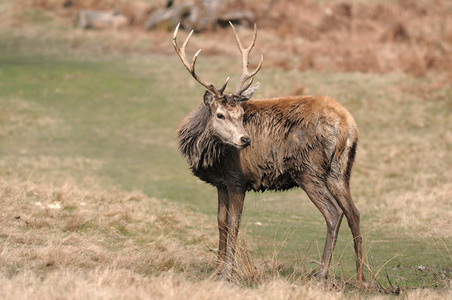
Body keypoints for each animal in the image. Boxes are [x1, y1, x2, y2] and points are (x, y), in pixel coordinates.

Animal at [173, 22, 364, 284]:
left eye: (242, 114)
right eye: (220, 114)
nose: (245, 139)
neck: (210, 156)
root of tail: (347, 125)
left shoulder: (237, 178)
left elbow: (234, 222)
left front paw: (227, 272)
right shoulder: (221, 182)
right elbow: (221, 222)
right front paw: (216, 270)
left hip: (308, 169)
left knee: (334, 213)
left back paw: (321, 275)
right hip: (341, 170)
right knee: (354, 212)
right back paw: (362, 277)